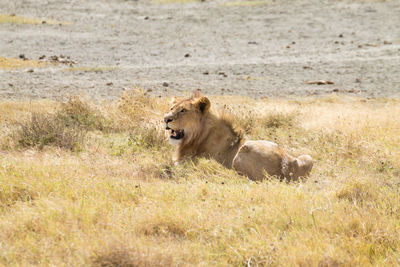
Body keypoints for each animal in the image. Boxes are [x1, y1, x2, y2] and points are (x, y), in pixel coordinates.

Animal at [164, 92, 314, 182]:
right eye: (171, 108)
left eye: (183, 111)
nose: (166, 119)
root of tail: (288, 166)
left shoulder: (188, 162)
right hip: (306, 157)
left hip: (244, 150)